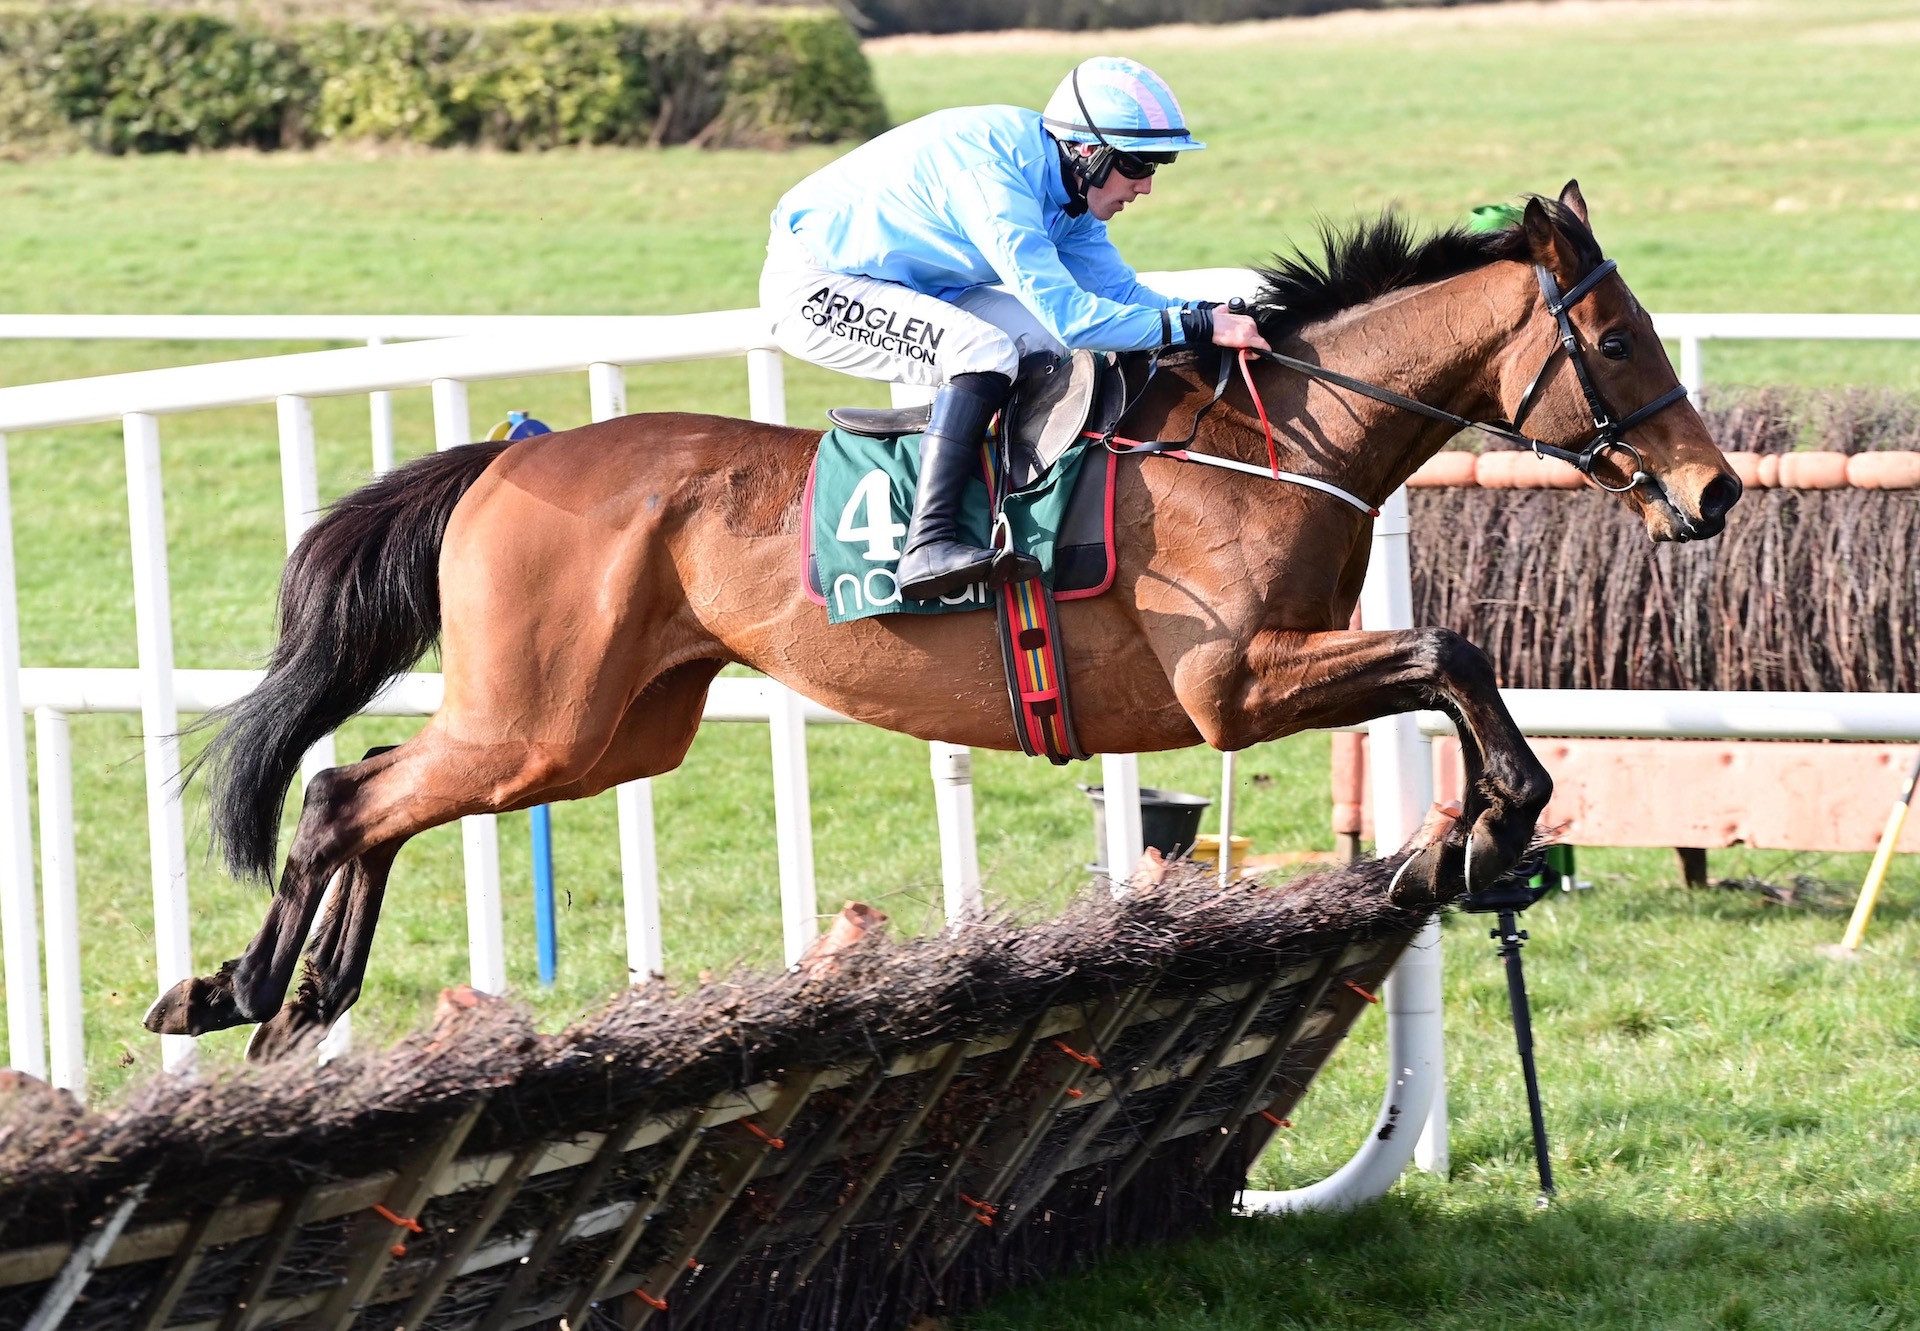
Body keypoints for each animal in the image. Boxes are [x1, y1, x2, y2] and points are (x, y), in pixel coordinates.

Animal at [145, 187, 1743, 1060]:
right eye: (1614, 340)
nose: (1715, 491)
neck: (1271, 440)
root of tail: (506, 455)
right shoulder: (1234, 686)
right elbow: (1452, 653)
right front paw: (1491, 824)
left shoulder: (1266, 681)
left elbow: (1450, 666)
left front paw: (1468, 834)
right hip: (540, 718)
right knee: (350, 792)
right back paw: (251, 988)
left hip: (605, 734)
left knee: (373, 788)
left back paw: (278, 997)